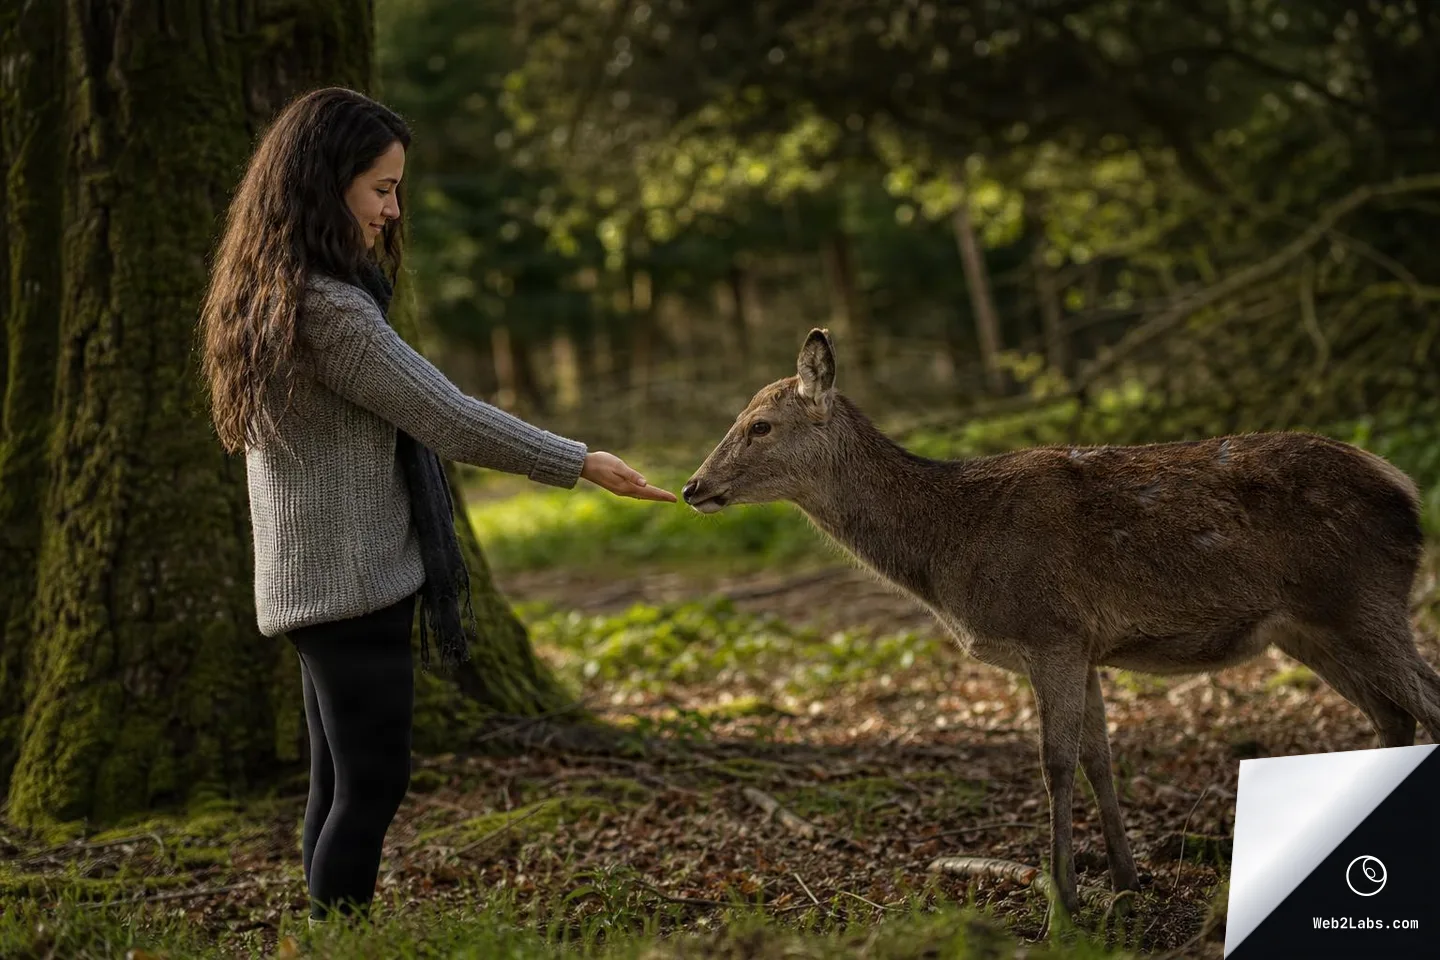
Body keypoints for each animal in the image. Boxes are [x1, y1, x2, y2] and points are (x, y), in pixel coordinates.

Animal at [681, 327, 1440, 927]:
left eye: (759, 425)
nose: (692, 487)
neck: (952, 547)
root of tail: (1406, 490)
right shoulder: (1087, 646)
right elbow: (1100, 758)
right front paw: (1127, 883)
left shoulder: (1051, 632)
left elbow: (1056, 764)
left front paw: (1064, 904)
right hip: (1312, 628)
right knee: (1392, 715)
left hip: (1362, 598)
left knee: (1424, 703)